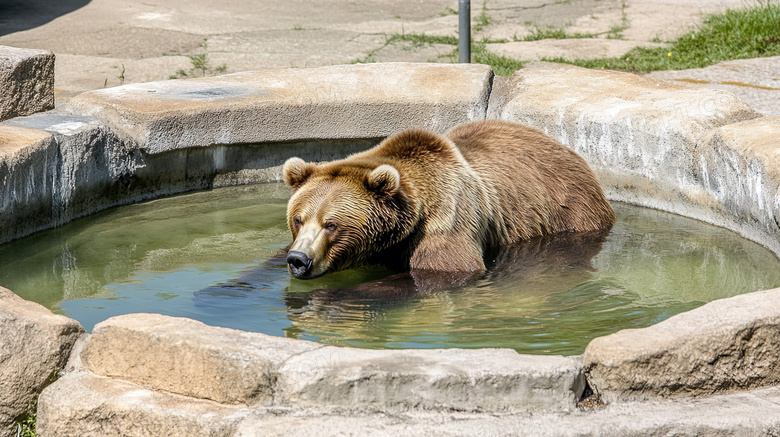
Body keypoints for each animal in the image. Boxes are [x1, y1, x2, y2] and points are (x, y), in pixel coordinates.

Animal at [280, 120, 616, 280]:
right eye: (298, 219)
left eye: (331, 224)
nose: (299, 260)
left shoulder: (446, 221)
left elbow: (445, 270)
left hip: (570, 208)